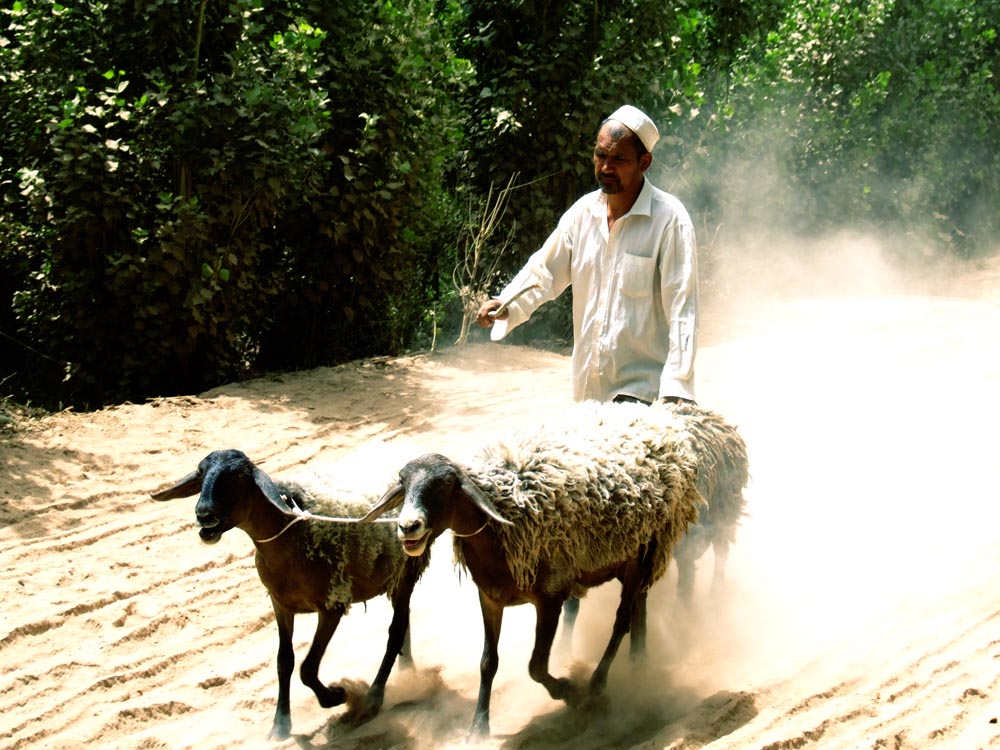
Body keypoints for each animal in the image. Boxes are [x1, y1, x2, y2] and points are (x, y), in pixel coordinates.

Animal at [150, 450, 428, 744]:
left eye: (238, 477)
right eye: (201, 473)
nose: (204, 515)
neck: (290, 537)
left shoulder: (332, 604)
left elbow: (307, 668)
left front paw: (335, 696)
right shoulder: (281, 604)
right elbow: (285, 661)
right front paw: (280, 724)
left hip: (407, 571)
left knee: (396, 631)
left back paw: (374, 697)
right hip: (396, 576)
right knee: (403, 622)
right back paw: (406, 669)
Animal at [362, 402, 704, 736]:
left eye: (445, 485)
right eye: (403, 483)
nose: (408, 526)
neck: (501, 525)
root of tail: (655, 419)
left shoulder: (550, 597)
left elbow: (536, 666)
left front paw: (570, 692)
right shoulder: (490, 597)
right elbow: (488, 662)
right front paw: (479, 726)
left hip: (643, 555)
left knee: (621, 622)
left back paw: (597, 683)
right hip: (634, 560)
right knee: (638, 610)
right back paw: (638, 663)